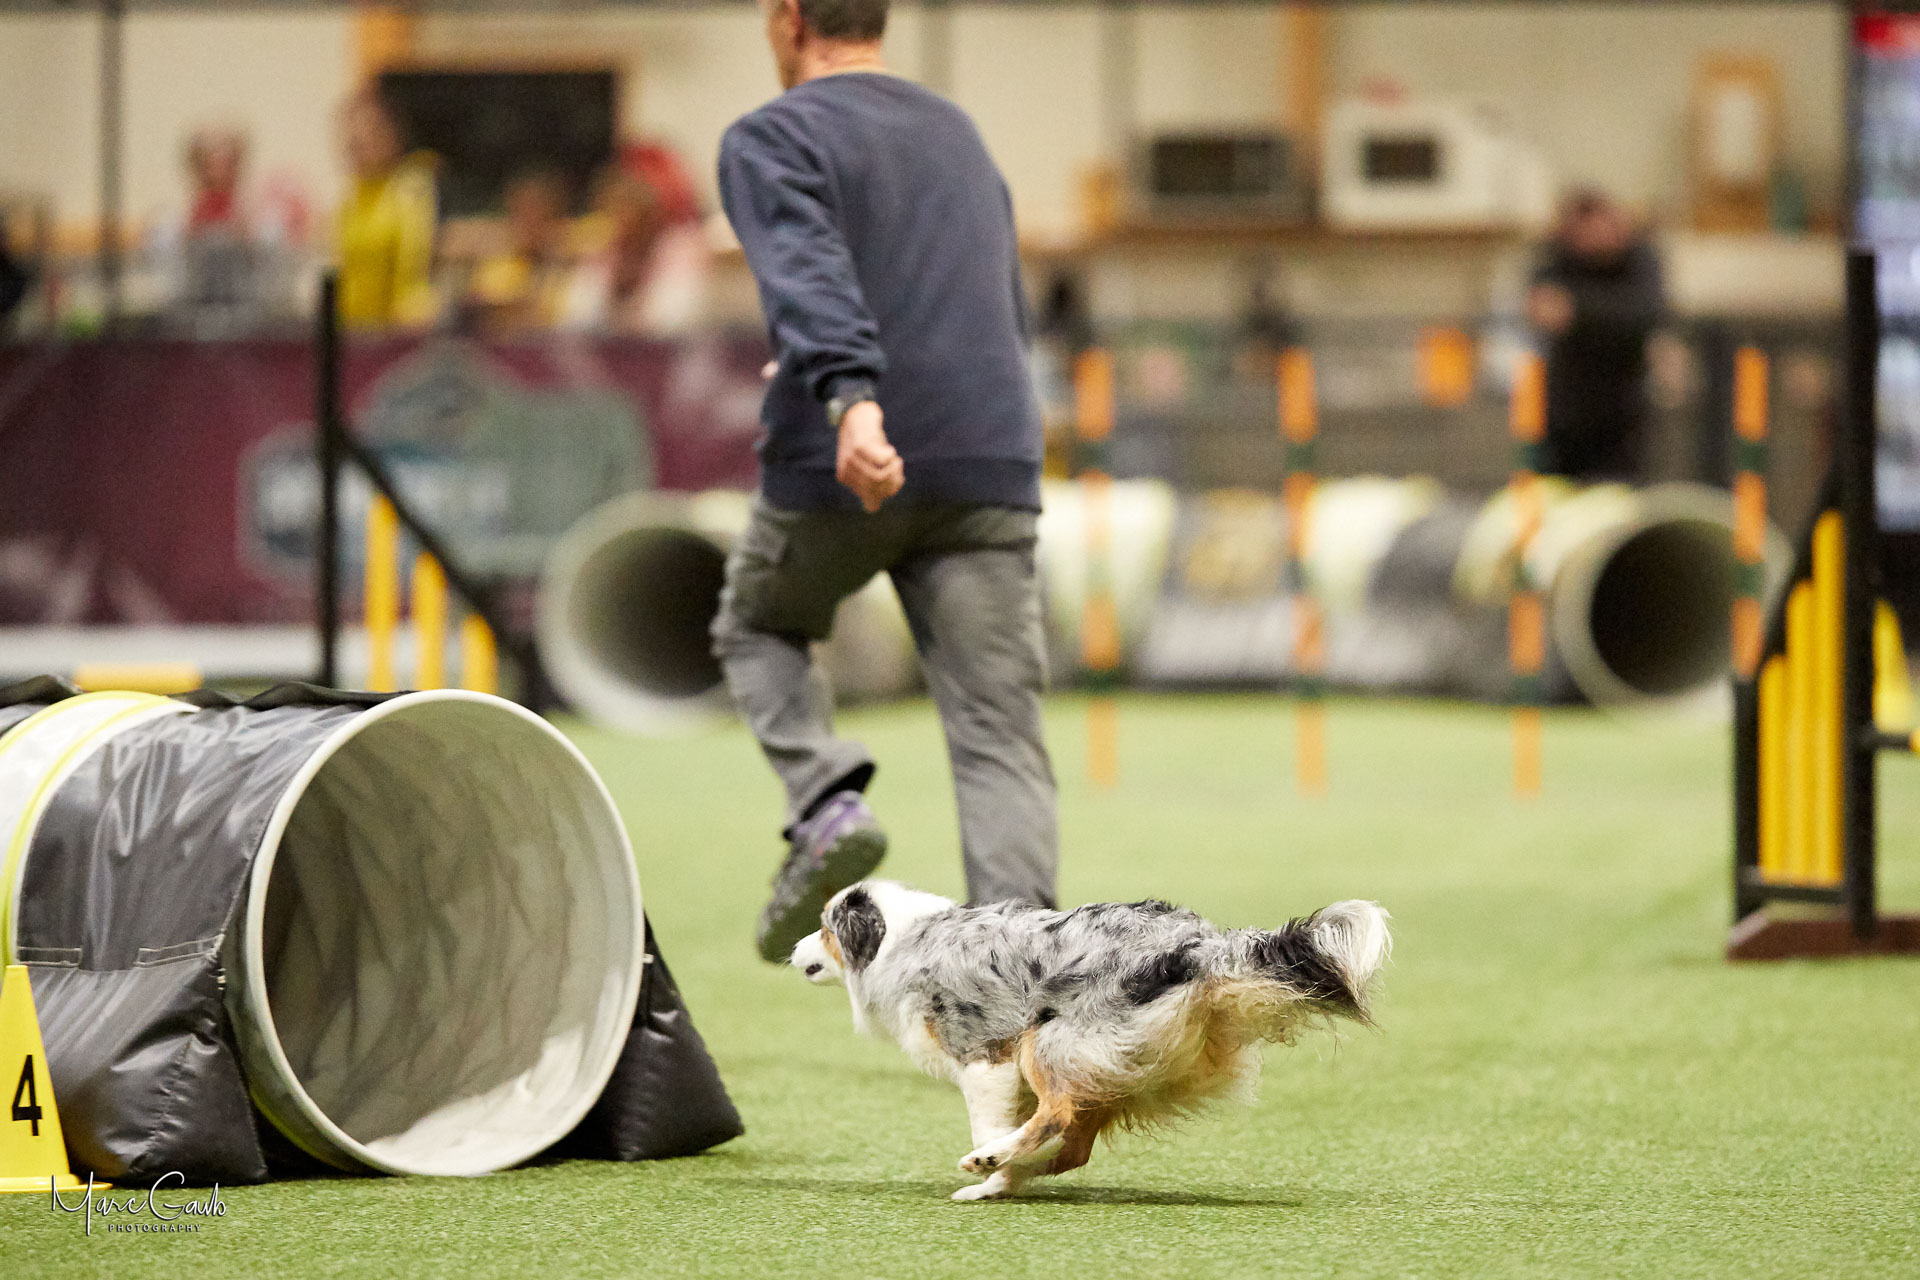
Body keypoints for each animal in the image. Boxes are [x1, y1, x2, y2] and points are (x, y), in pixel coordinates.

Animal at [790, 880, 1391, 1200]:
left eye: (823, 926)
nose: (792, 951)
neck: (903, 937)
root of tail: (1200, 947)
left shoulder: (986, 1057)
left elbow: (992, 1117)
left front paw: (990, 1172)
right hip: (1118, 1067)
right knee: (1074, 1148)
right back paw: (1018, 1172)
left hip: (1049, 1039)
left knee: (1056, 1116)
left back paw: (992, 1167)